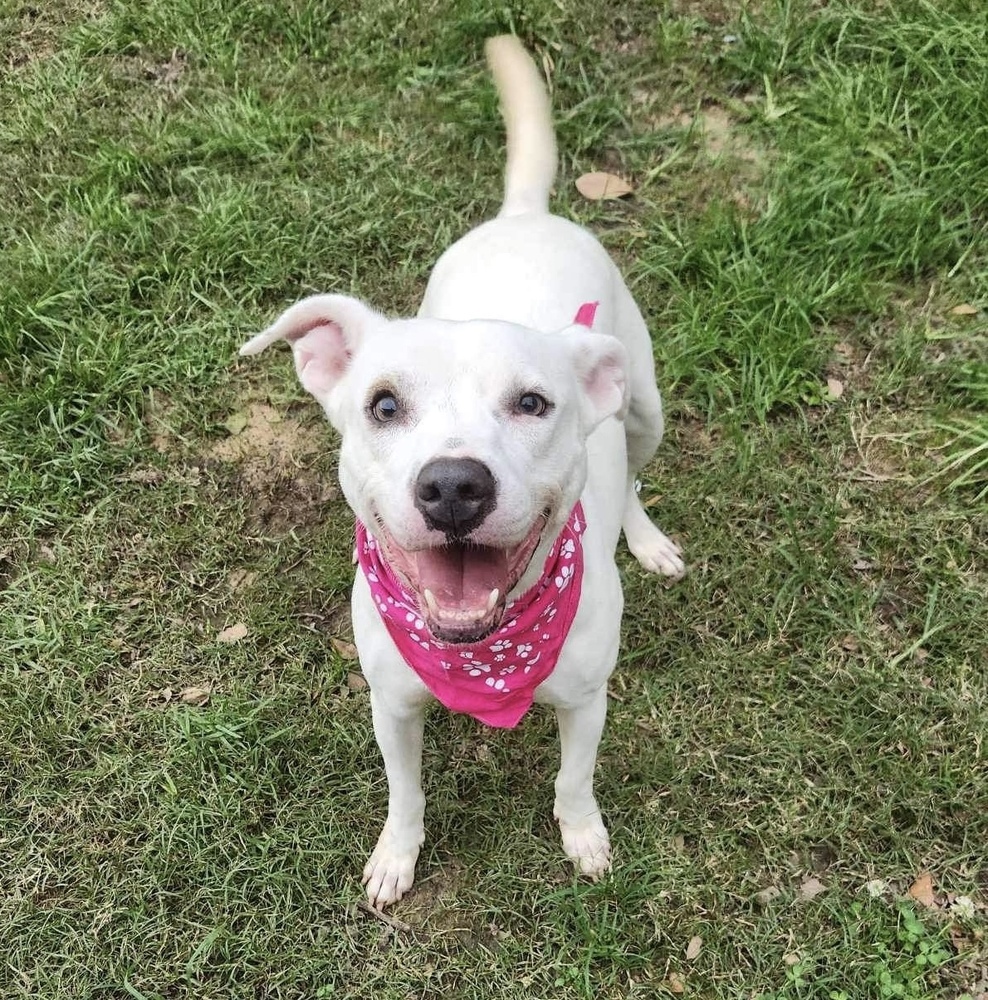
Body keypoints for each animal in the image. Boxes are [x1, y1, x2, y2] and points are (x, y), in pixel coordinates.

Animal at [243, 37, 684, 916]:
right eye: (383, 405)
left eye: (532, 402)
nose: (453, 486)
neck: (484, 653)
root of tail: (524, 215)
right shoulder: (391, 704)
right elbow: (405, 792)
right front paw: (395, 856)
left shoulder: (586, 701)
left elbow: (574, 780)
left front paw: (583, 837)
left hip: (645, 407)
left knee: (636, 478)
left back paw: (645, 538)